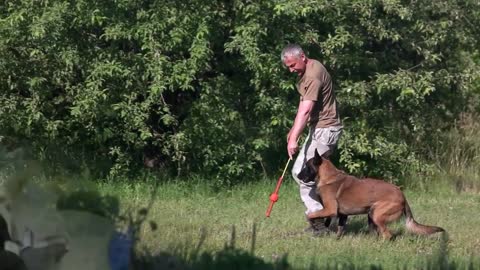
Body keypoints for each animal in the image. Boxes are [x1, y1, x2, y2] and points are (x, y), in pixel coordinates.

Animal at [302, 151, 444, 239]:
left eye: (306, 166)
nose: (298, 176)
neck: (329, 177)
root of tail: (402, 195)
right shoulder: (341, 214)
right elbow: (338, 228)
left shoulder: (330, 209)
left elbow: (310, 215)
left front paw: (313, 224)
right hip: (371, 214)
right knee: (377, 233)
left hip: (376, 215)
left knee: (387, 235)